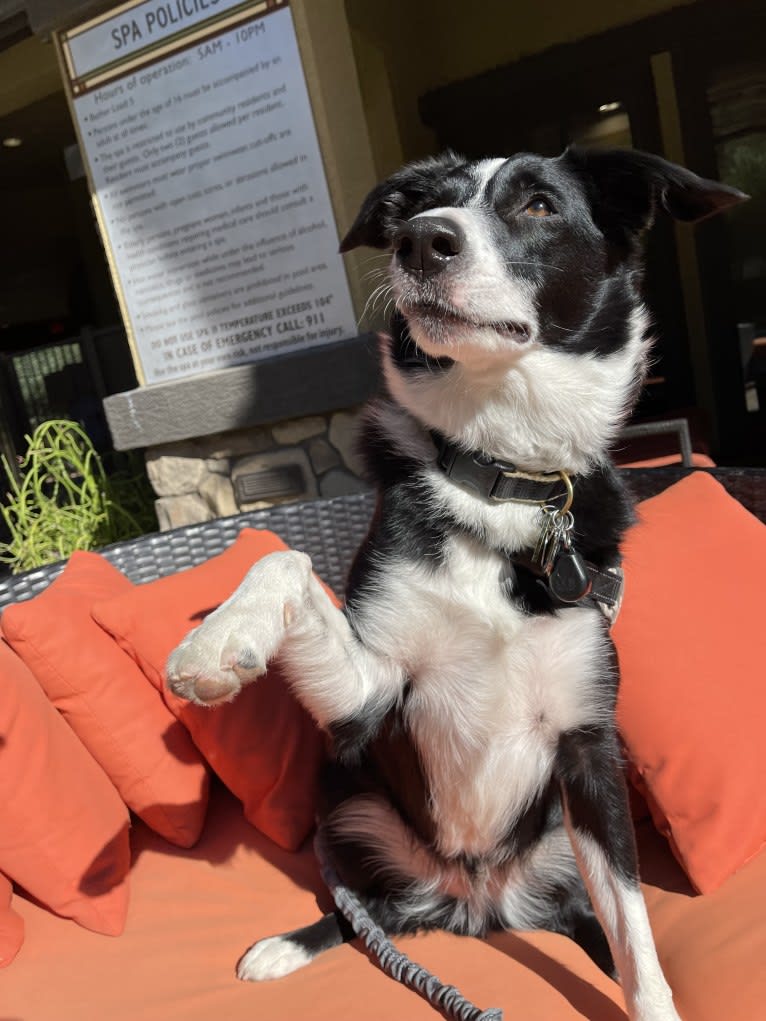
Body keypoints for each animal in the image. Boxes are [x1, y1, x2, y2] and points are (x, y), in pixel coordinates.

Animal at [165, 146, 747, 1021]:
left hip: (555, 846)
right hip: (348, 801)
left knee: (577, 920)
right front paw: (220, 638)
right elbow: (285, 559)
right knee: (367, 907)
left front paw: (656, 1004)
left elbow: (637, 935)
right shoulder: (370, 700)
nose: (419, 241)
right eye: (419, 206)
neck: (502, 479)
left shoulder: (588, 747)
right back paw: (286, 946)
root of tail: (476, 904)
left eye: (539, 205)